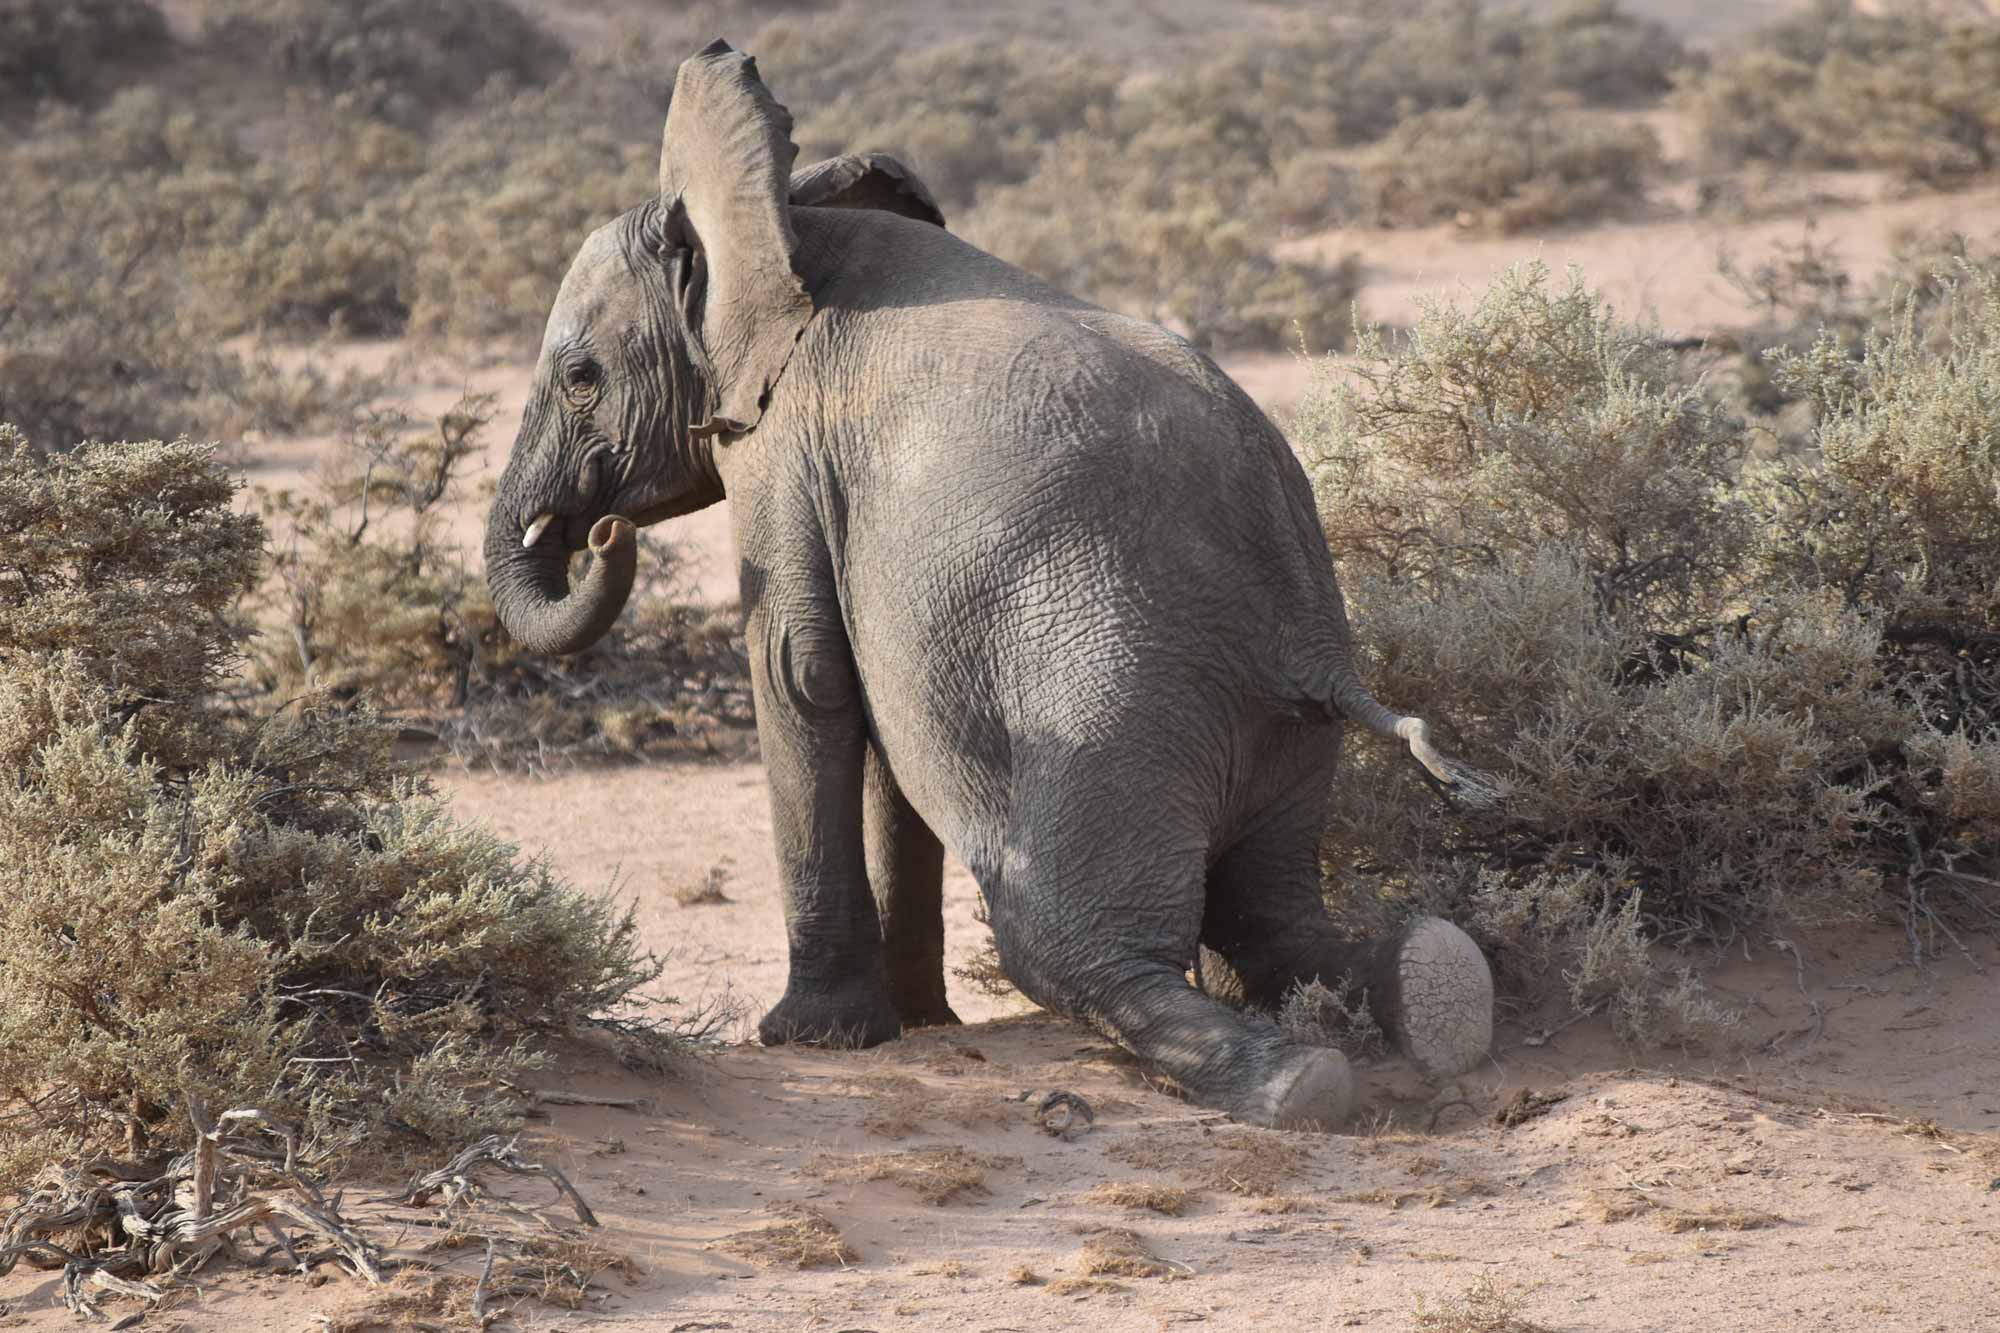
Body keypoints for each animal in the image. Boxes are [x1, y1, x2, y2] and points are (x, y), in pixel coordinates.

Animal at [480, 39, 1488, 1120]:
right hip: (1277, 738)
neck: (788, 222)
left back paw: (1294, 1084)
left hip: (1121, 708)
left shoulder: (783, 449)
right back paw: (1432, 993)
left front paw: (815, 1037)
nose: (600, 533)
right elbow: (876, 727)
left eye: (580, 379)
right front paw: (918, 1023)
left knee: (1067, 940)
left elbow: (800, 675)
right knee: (1273, 922)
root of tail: (1309, 651)